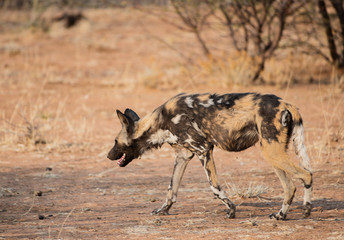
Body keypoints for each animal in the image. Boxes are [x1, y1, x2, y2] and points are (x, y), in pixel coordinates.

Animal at [107, 93, 312, 220]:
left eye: (115, 141)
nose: (109, 156)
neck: (159, 123)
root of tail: (287, 104)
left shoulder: (203, 150)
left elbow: (214, 187)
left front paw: (231, 210)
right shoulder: (182, 156)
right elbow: (171, 190)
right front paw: (162, 210)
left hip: (271, 151)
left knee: (306, 175)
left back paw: (306, 210)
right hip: (272, 152)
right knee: (291, 186)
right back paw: (280, 215)